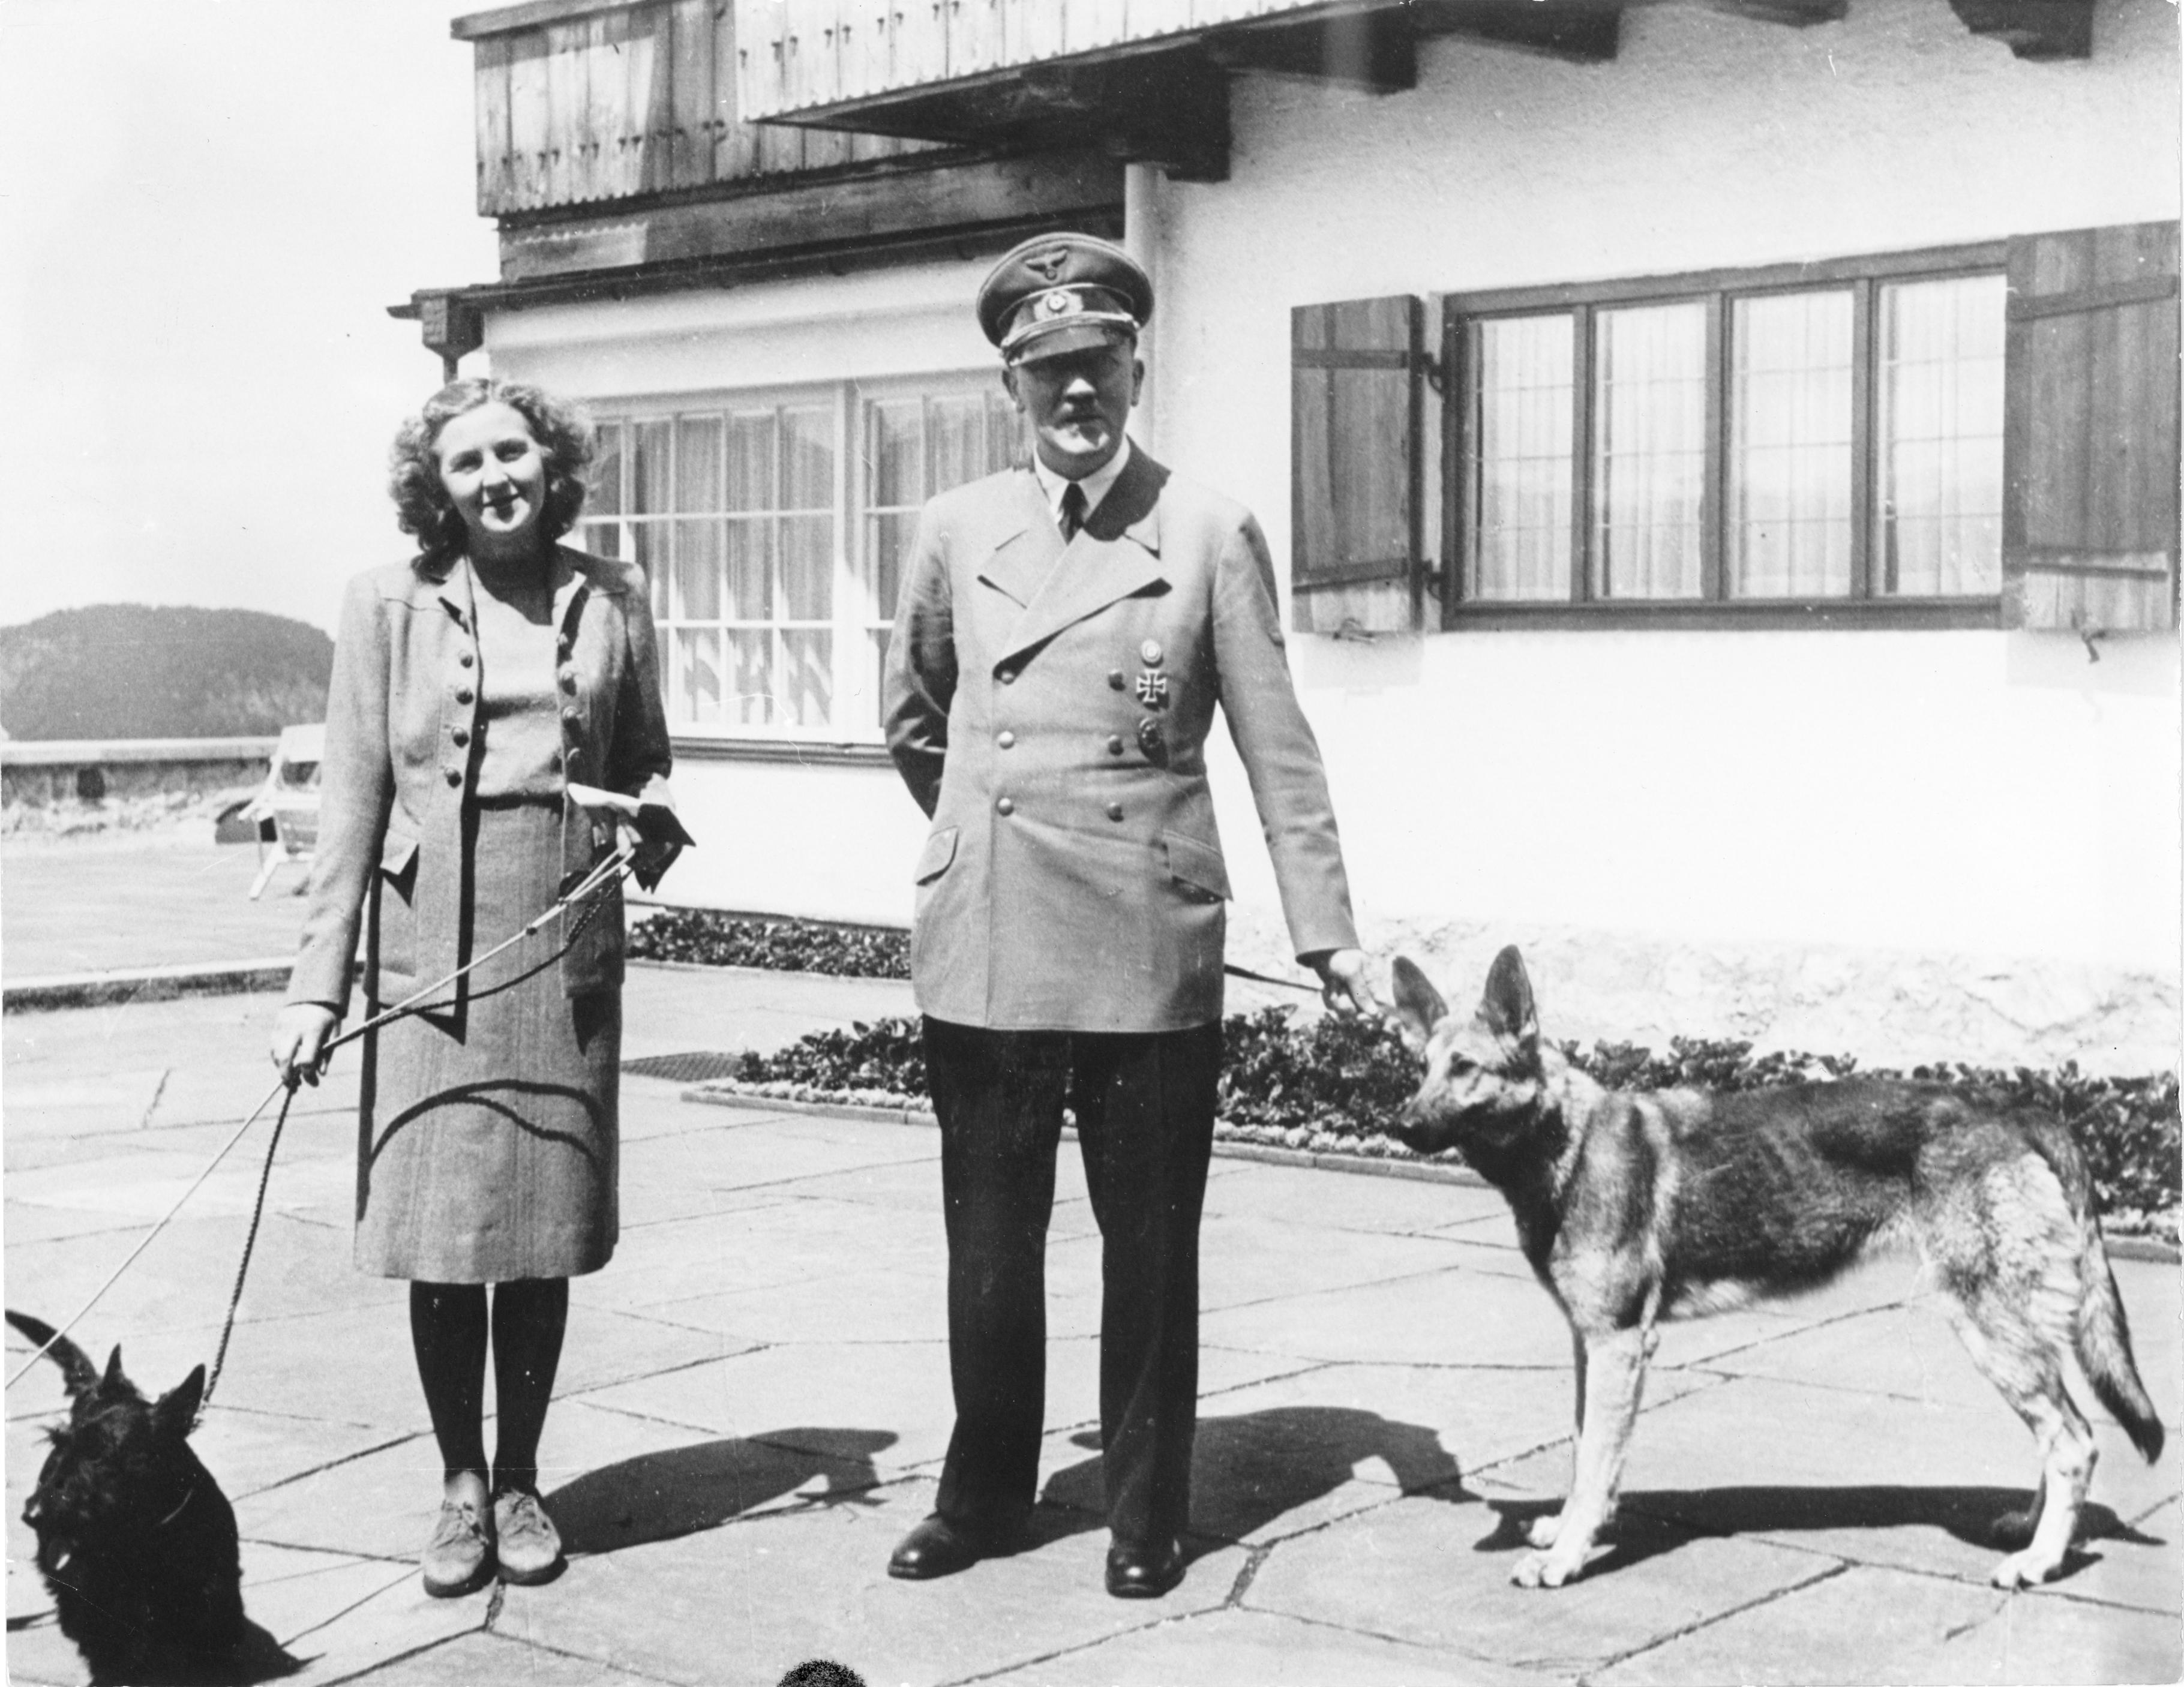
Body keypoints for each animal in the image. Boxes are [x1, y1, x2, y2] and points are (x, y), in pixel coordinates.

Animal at [1389, 947, 2158, 1589]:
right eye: (1420, 1067)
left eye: (1465, 1068)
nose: (1400, 1124)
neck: (1564, 1144)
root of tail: (2021, 1110)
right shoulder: (1591, 1345)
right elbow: (1586, 1455)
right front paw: (1570, 1530)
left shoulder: (1618, 1345)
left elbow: (1598, 1458)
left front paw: (1567, 1558)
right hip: (2012, 1339)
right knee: (2063, 1433)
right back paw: (2029, 1531)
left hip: (1988, 1332)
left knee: (2075, 1441)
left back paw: (2038, 1562)